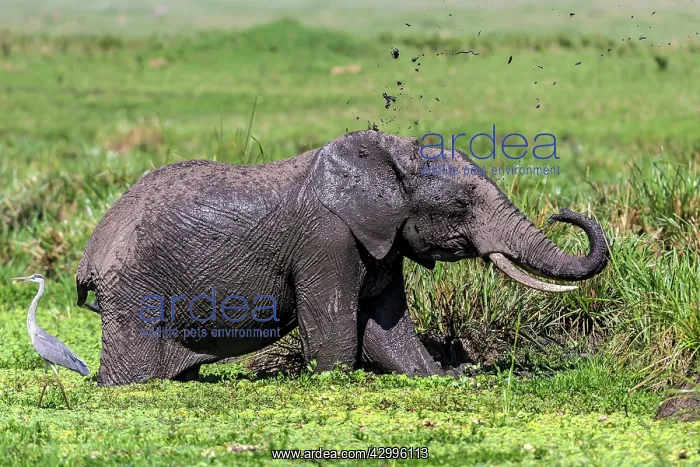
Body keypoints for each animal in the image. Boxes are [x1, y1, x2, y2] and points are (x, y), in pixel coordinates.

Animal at [76, 129, 609, 386]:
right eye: (461, 205)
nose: (563, 213)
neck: (388, 159)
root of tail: (91, 250)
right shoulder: (326, 240)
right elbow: (335, 329)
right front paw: (334, 378)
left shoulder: (382, 239)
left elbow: (388, 326)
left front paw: (448, 376)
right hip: (137, 289)